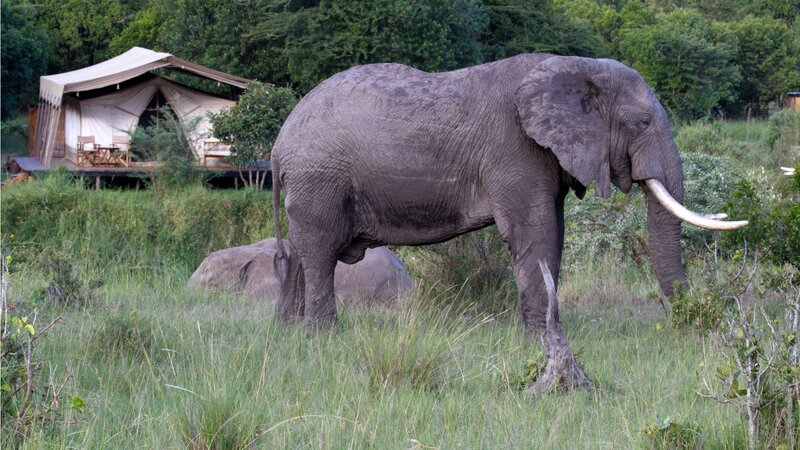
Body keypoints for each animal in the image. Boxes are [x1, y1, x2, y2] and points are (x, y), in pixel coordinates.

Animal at [272, 54, 748, 332]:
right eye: (643, 123)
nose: (690, 321)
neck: (576, 67)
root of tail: (279, 145)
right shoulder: (514, 148)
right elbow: (535, 231)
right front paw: (543, 337)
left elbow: (554, 233)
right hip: (320, 179)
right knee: (320, 251)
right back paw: (324, 336)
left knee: (300, 252)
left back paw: (289, 335)